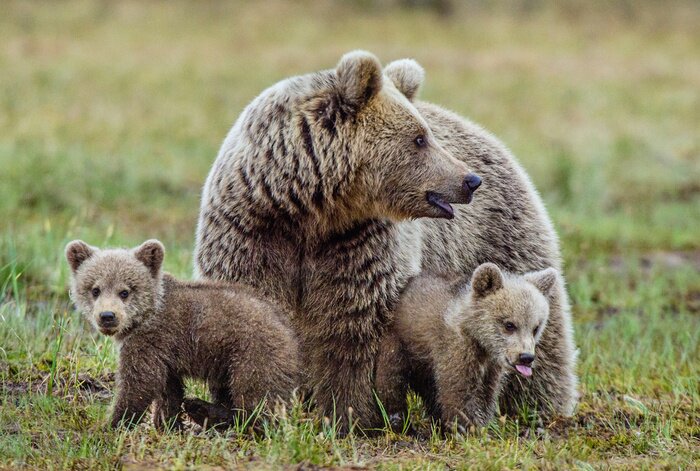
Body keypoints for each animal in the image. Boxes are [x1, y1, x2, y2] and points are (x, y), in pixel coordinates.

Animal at [65, 239, 299, 429]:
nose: (107, 316)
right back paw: (202, 409)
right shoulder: (165, 353)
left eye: (125, 291)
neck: (145, 316)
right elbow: (168, 389)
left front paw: (109, 424)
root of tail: (288, 329)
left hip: (253, 352)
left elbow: (139, 384)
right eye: (95, 289)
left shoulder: (150, 339)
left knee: (255, 394)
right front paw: (167, 422)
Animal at [374, 263, 558, 432]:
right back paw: (400, 422)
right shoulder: (456, 350)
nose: (526, 357)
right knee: (391, 381)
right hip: (398, 343)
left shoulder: (491, 368)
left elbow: (487, 395)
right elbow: (458, 391)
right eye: (509, 324)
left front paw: (481, 425)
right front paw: (466, 428)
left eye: (536, 327)